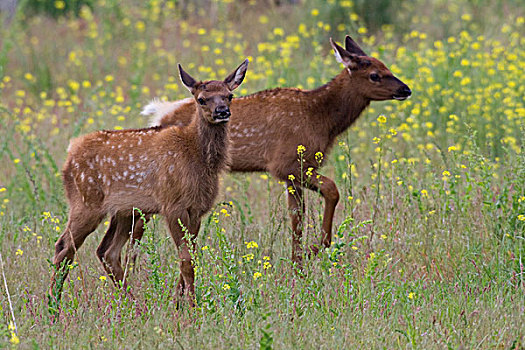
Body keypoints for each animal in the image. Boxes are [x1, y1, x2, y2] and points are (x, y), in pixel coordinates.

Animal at [48, 58, 249, 304]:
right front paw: (192, 306)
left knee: (107, 251)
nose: (222, 111)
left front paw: (179, 303)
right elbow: (185, 261)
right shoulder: (173, 205)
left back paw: (133, 304)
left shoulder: (197, 210)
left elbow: (191, 258)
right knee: (64, 246)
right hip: (85, 201)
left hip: (124, 211)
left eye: (230, 95)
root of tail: (70, 154)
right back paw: (53, 304)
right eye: (201, 99)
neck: (196, 155)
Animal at [141, 34, 412, 266]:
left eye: (387, 67)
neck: (321, 118)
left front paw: (298, 262)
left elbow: (297, 215)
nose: (406, 89)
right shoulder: (287, 163)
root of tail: (160, 114)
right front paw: (314, 249)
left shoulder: (293, 172)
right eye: (375, 74)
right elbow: (330, 191)